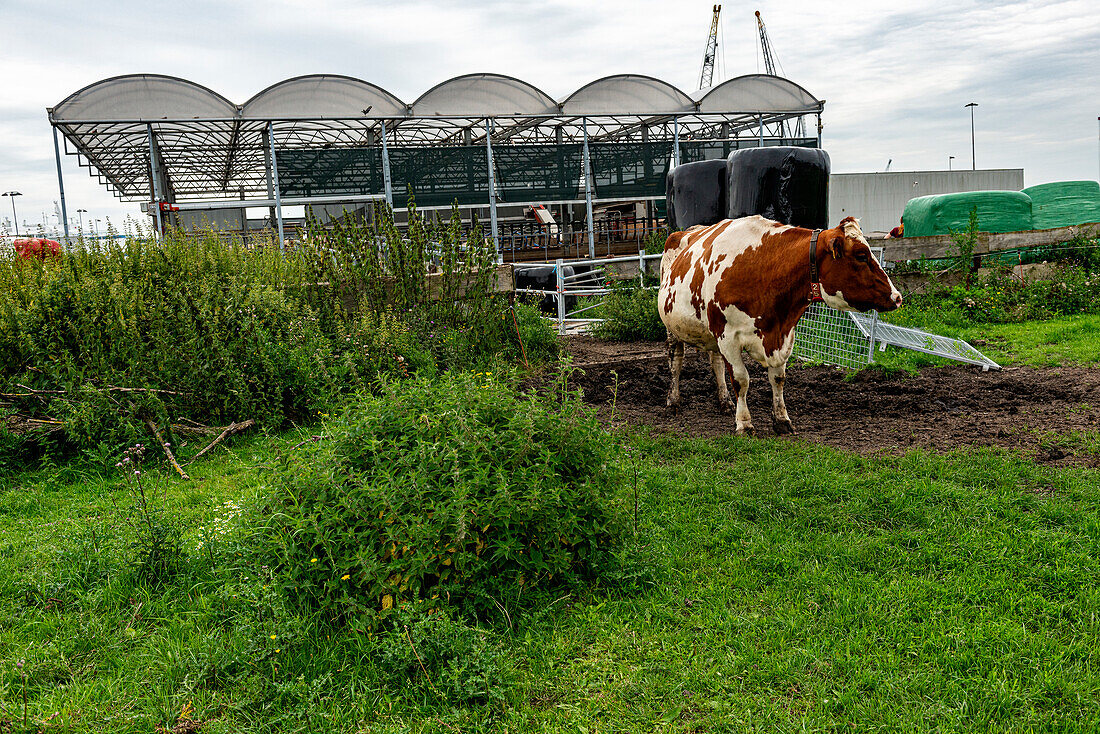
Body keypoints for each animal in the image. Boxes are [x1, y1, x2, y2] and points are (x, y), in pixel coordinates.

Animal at [660, 215, 902, 433]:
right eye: (861, 256)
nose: (897, 297)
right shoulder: (728, 337)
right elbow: (741, 380)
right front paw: (744, 424)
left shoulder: (784, 334)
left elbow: (778, 379)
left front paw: (782, 420)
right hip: (674, 329)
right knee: (676, 360)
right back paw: (673, 400)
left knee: (716, 362)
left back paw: (725, 402)